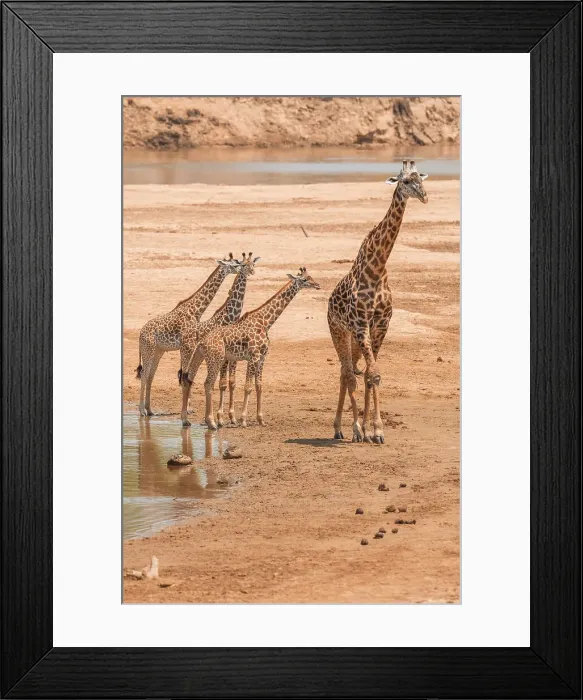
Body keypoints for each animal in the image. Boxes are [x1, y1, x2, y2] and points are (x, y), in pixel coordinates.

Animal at [136, 253, 240, 417]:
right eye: (234, 264)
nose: (242, 267)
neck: (196, 309)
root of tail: (140, 333)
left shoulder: (189, 346)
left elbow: (187, 374)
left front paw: (188, 408)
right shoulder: (188, 345)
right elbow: (186, 374)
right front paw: (187, 409)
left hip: (158, 351)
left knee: (151, 374)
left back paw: (150, 409)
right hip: (148, 349)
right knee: (145, 373)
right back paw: (142, 411)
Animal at [178, 252, 260, 427]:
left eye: (252, 264)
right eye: (241, 264)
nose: (252, 272)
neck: (229, 316)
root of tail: (183, 336)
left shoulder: (232, 356)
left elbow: (231, 382)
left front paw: (231, 417)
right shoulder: (226, 357)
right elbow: (222, 383)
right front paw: (220, 418)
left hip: (196, 358)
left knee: (188, 378)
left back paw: (187, 416)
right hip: (188, 355)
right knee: (185, 379)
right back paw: (185, 418)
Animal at [198, 267, 321, 430]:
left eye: (311, 277)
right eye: (304, 279)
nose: (317, 285)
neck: (265, 322)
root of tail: (202, 342)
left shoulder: (262, 358)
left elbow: (259, 386)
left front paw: (261, 419)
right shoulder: (254, 357)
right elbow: (248, 387)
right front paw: (243, 420)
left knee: (213, 384)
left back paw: (215, 420)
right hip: (216, 360)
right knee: (209, 384)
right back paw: (213, 421)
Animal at [327, 160, 428, 444]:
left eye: (421, 178)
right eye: (405, 181)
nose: (424, 196)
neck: (377, 269)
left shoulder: (381, 325)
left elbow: (373, 376)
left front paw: (375, 430)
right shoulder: (361, 325)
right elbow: (371, 374)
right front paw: (362, 428)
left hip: (353, 338)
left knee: (347, 372)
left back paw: (344, 428)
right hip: (339, 331)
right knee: (347, 373)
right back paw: (343, 428)